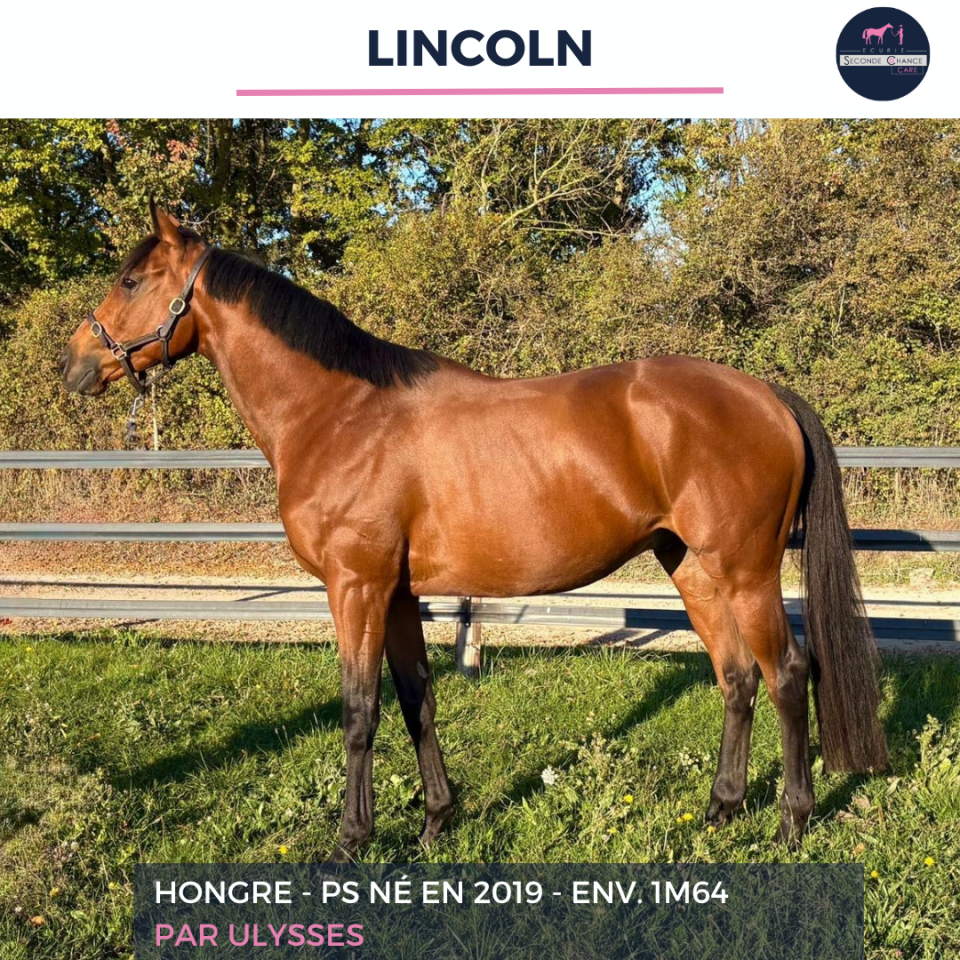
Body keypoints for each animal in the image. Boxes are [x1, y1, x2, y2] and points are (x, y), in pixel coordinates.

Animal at [59, 202, 888, 859]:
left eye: (131, 281)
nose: (74, 365)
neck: (338, 414)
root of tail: (766, 394)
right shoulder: (395, 594)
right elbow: (415, 699)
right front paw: (435, 820)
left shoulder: (355, 587)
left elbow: (358, 712)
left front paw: (351, 840)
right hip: (689, 565)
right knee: (736, 677)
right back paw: (720, 810)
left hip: (745, 570)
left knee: (788, 674)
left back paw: (790, 823)